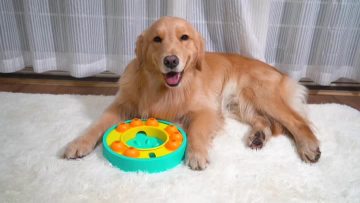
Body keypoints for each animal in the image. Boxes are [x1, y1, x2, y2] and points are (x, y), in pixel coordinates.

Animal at [64, 16, 320, 170]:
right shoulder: (122, 105)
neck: (163, 88)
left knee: (297, 122)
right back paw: (258, 136)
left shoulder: (206, 111)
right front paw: (79, 143)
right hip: (241, 104)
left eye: (184, 37)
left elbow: (196, 130)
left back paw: (309, 147)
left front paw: (196, 154)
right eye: (157, 39)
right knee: (265, 122)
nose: (171, 61)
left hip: (260, 95)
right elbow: (98, 124)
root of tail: (278, 71)